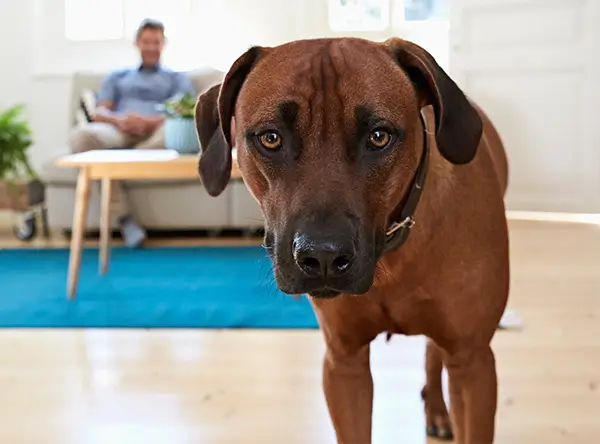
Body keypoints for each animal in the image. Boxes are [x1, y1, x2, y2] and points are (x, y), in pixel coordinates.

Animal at [195, 37, 508, 444]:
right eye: (271, 138)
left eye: (379, 136)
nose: (322, 258)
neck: (393, 253)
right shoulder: (344, 364)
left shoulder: (474, 363)